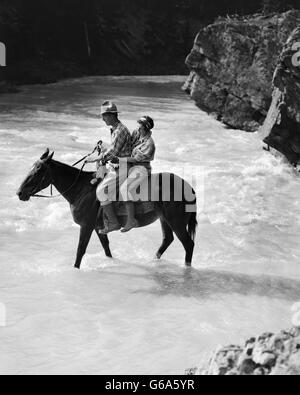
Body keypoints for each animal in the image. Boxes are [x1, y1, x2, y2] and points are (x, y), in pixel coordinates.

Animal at [17, 149, 198, 270]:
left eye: (38, 171)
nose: (19, 193)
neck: (81, 189)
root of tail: (188, 187)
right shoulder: (99, 228)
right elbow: (106, 249)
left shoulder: (87, 226)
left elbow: (80, 250)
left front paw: (75, 268)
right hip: (164, 219)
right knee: (167, 239)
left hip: (176, 222)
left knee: (188, 244)